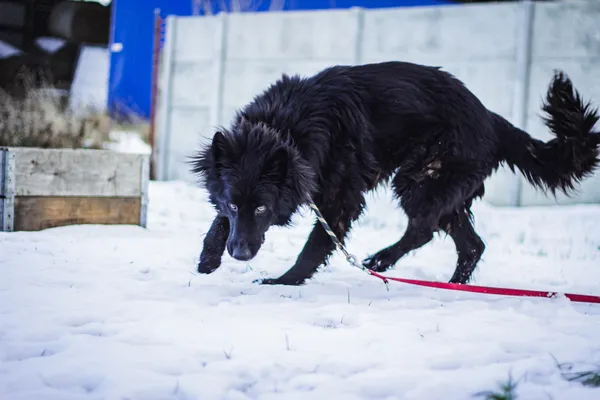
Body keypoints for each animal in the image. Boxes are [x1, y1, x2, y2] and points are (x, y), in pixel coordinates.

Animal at [191, 61, 600, 286]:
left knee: (423, 231)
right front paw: (209, 257)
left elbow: (315, 246)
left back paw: (380, 261)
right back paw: (454, 288)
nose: (240, 254)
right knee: (471, 245)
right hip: (441, 189)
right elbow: (217, 223)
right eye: (233, 204)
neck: (285, 128)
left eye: (262, 209)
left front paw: (284, 282)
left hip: (420, 179)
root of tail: (490, 118)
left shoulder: (341, 201)